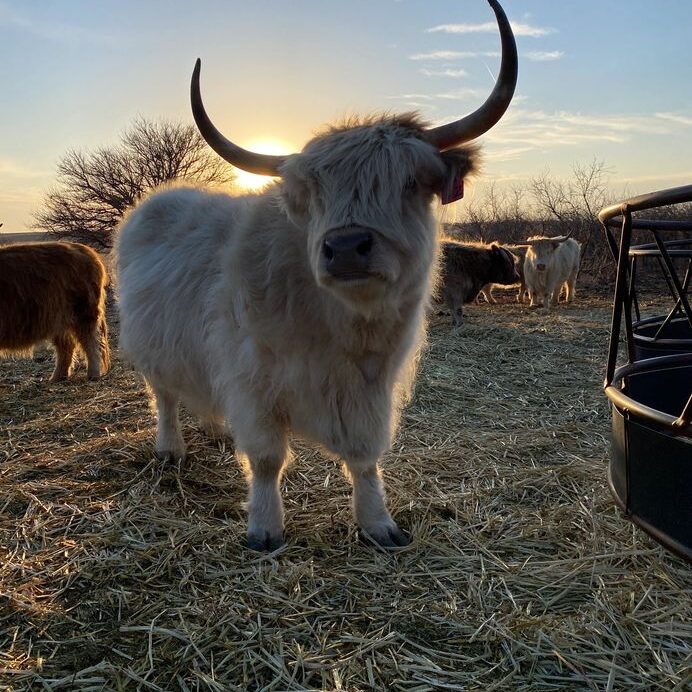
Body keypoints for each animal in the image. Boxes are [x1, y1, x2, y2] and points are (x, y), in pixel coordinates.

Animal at [0, 242, 109, 384]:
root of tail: (86, 250)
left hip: (83, 312)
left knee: (92, 342)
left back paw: (93, 375)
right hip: (58, 318)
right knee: (67, 346)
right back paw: (57, 377)